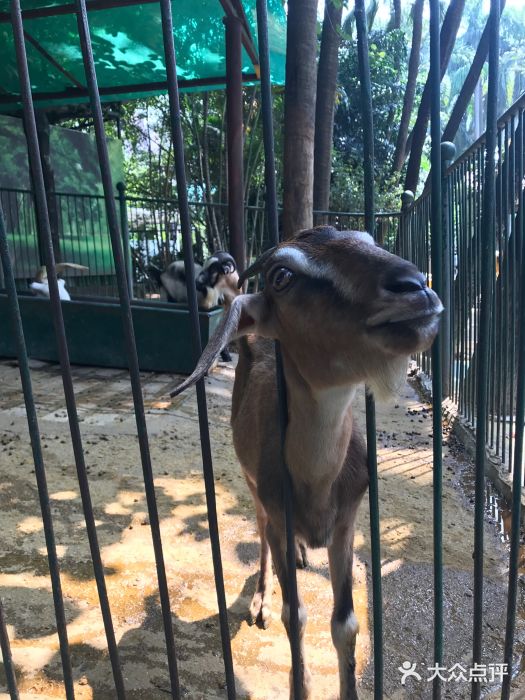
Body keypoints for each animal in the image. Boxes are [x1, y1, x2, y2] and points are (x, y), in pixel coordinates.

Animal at [170, 227, 440, 696]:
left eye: (369, 239)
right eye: (282, 275)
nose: (415, 287)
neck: (317, 485)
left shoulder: (347, 524)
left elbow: (345, 623)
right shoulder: (278, 510)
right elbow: (293, 616)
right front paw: (300, 682)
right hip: (253, 489)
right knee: (260, 534)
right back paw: (261, 598)